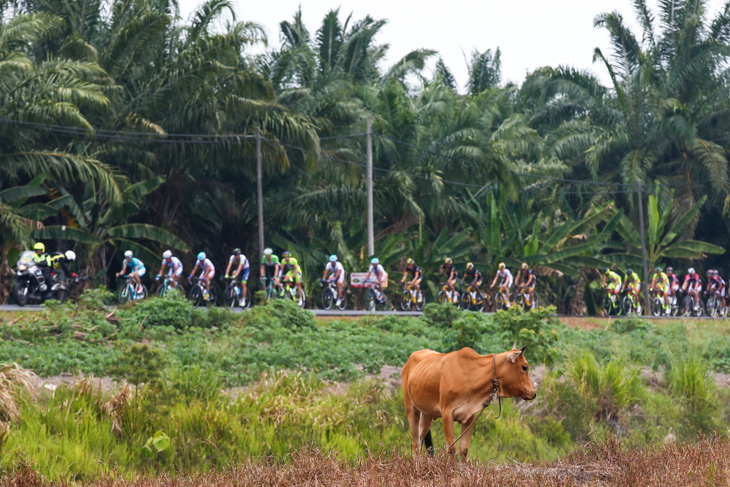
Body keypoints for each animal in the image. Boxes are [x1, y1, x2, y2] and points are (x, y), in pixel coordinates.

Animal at [398, 344, 536, 462]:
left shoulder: (470, 416)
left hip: (427, 415)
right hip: (411, 409)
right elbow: (451, 448)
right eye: (524, 367)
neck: (471, 374)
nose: (533, 393)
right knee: (415, 442)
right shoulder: (447, 413)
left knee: (420, 440)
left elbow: (464, 450)